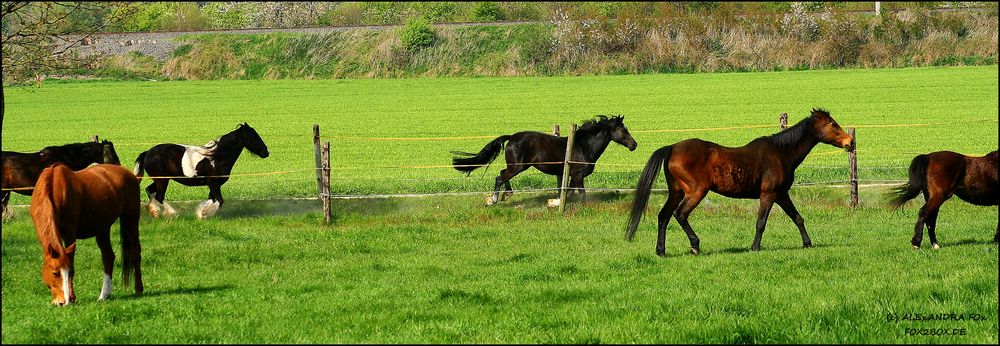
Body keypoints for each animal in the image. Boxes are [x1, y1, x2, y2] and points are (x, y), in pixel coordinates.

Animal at [30, 163, 143, 306]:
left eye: (66, 271)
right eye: (55, 273)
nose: (63, 302)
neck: (54, 189)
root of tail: (132, 176)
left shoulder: (69, 233)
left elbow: (72, 263)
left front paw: (72, 298)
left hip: (131, 219)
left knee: (135, 252)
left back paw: (139, 289)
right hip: (102, 228)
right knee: (108, 256)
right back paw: (104, 295)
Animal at [132, 122, 270, 219]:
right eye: (254, 137)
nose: (266, 152)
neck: (217, 157)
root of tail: (147, 153)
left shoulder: (214, 185)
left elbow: (212, 199)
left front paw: (201, 213)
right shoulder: (213, 184)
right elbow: (220, 201)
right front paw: (204, 214)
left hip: (159, 180)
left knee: (150, 190)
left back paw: (154, 212)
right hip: (163, 180)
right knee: (159, 196)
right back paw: (173, 213)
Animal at [452, 115, 636, 204]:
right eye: (622, 130)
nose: (634, 144)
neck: (584, 146)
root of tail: (511, 137)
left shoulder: (571, 176)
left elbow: (568, 193)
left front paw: (555, 203)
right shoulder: (578, 176)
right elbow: (581, 194)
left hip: (517, 166)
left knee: (502, 173)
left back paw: (506, 195)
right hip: (518, 166)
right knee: (500, 177)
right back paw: (494, 200)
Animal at [624, 109, 852, 256]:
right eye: (832, 124)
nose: (850, 142)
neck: (781, 153)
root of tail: (672, 147)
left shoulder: (782, 194)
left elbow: (798, 218)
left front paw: (807, 243)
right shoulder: (768, 195)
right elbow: (761, 222)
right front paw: (755, 247)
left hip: (676, 192)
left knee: (663, 216)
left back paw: (661, 251)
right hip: (696, 192)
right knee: (680, 214)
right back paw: (695, 245)